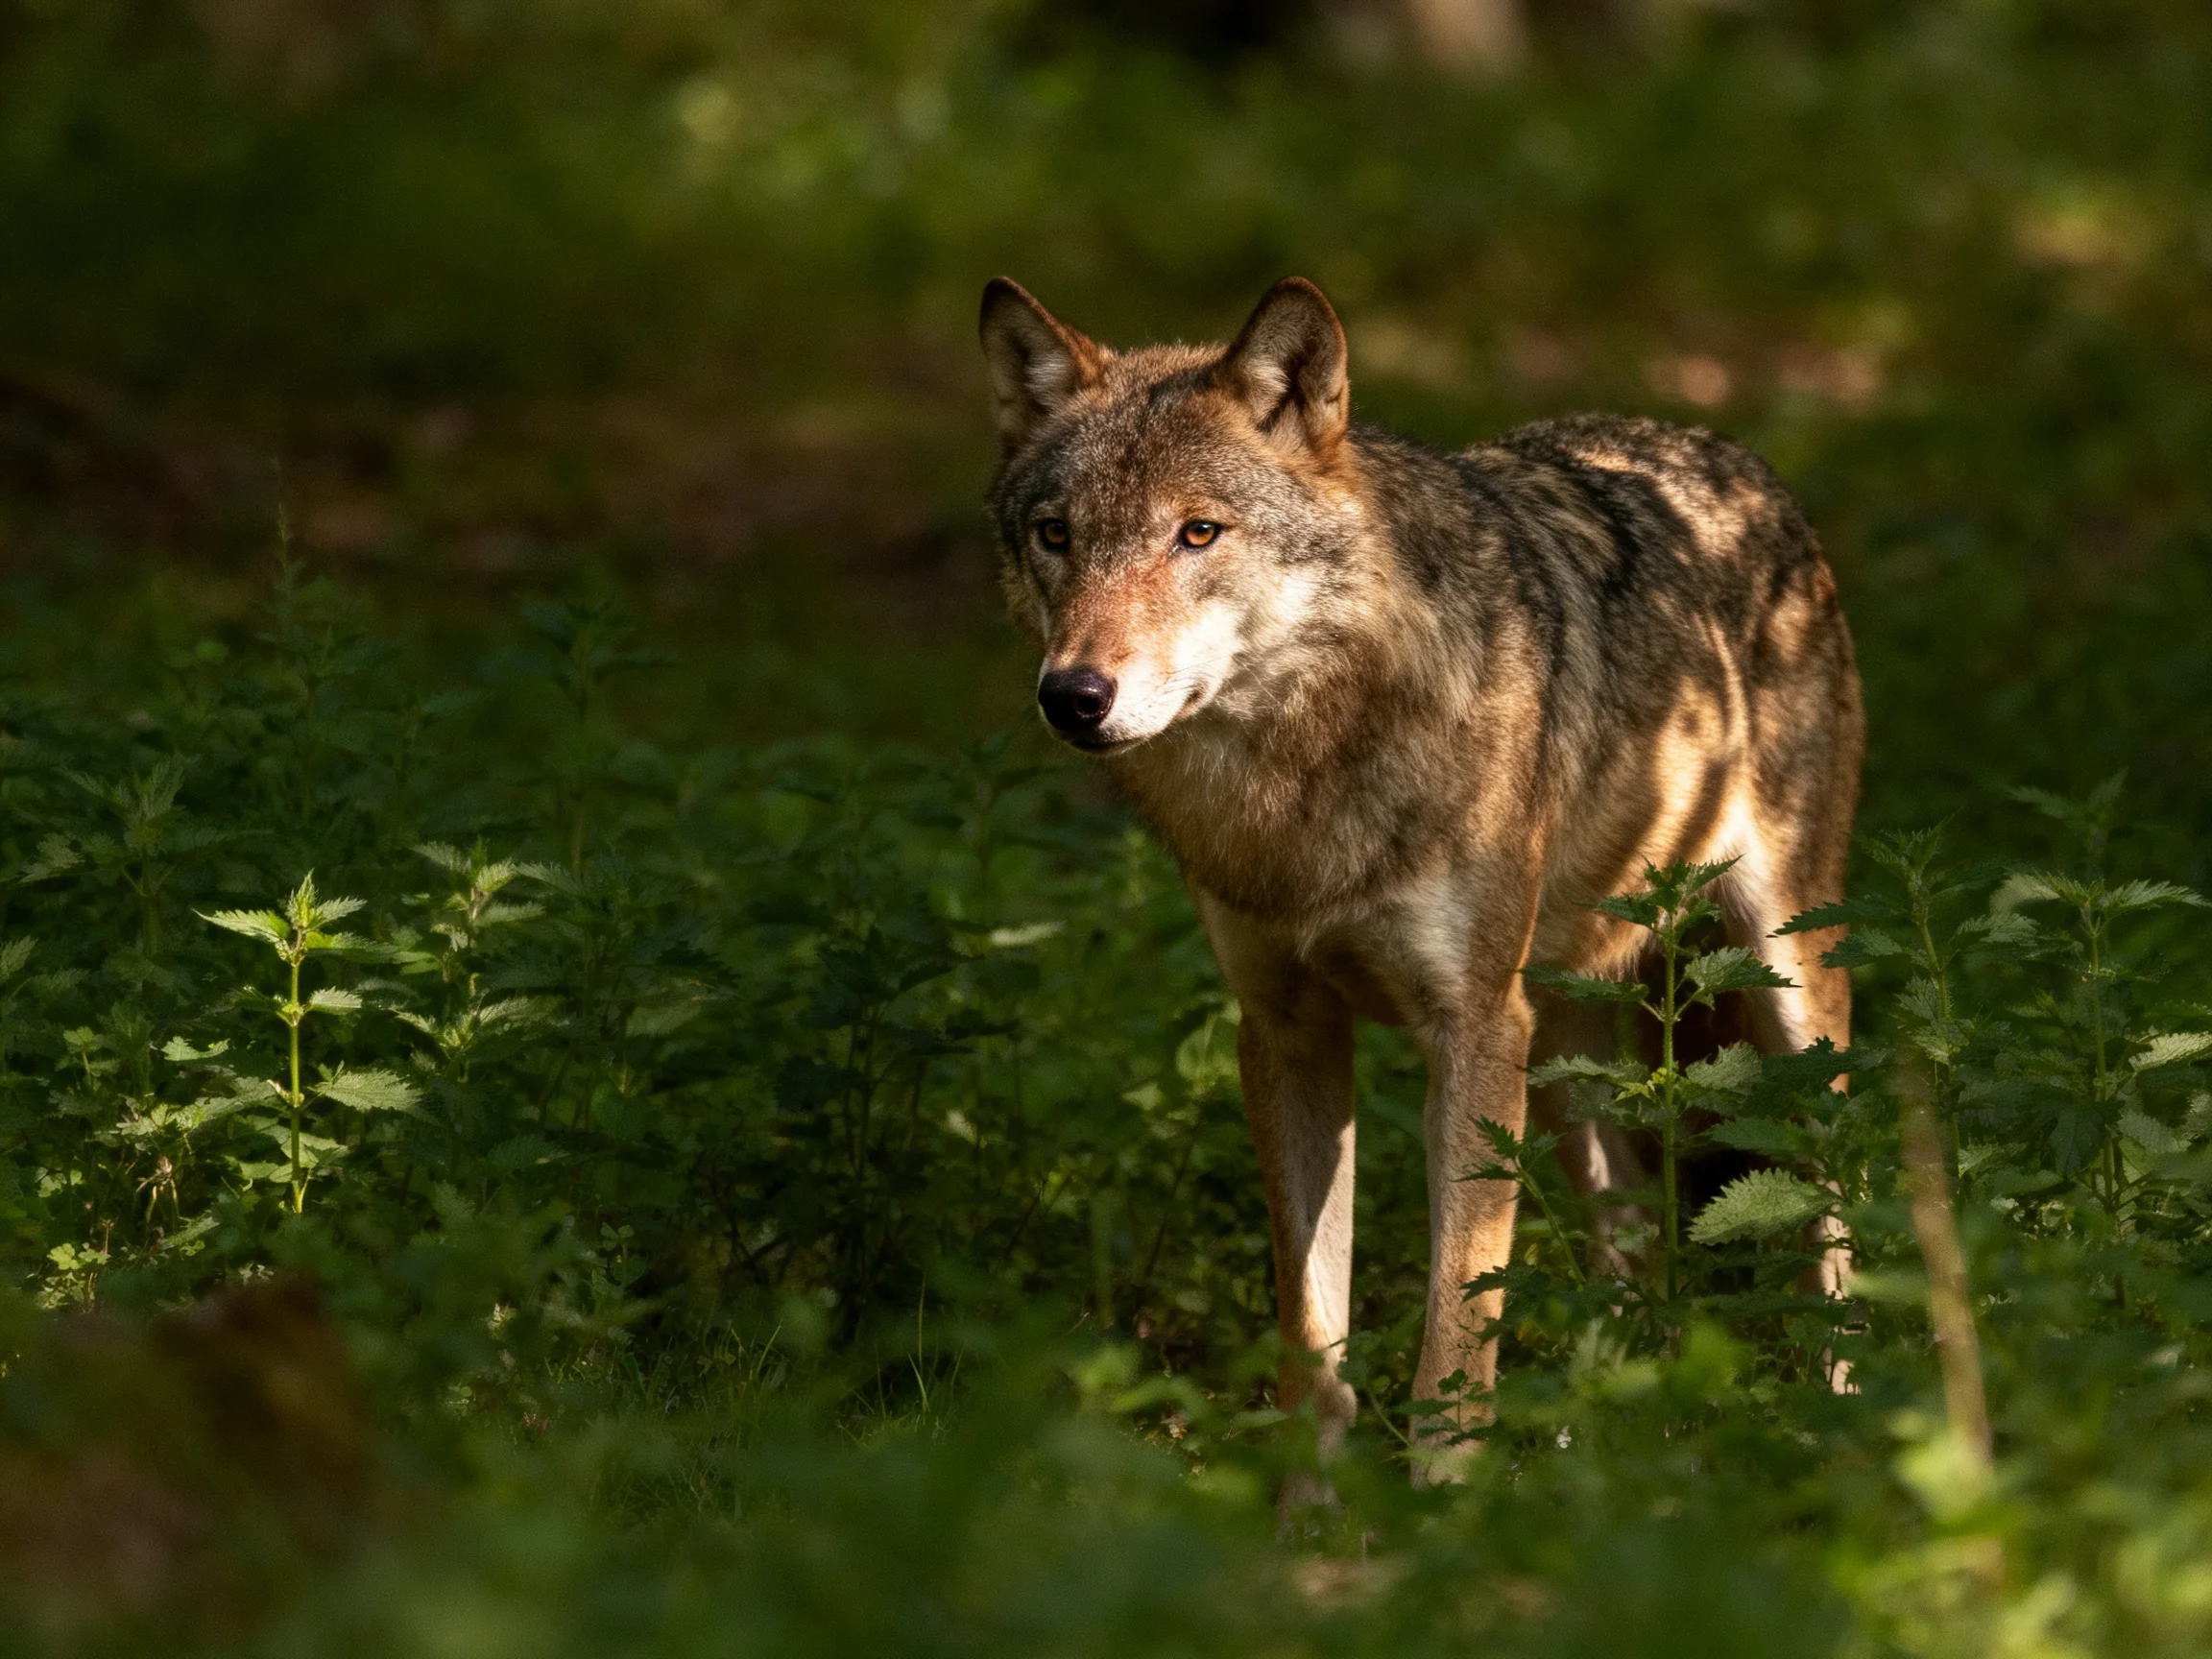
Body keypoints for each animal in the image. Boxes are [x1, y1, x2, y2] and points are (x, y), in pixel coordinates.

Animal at [978, 275, 1863, 1475]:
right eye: (1056, 535)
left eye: (1197, 532)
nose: (1073, 695)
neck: (1300, 790)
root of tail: (1724, 451)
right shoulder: (1288, 1031)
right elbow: (1312, 1340)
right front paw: (1311, 1503)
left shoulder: (1468, 1030)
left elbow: (1455, 1336)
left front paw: (1442, 1500)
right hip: (1564, 1052)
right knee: (1630, 1244)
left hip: (1780, 992)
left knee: (1835, 1220)